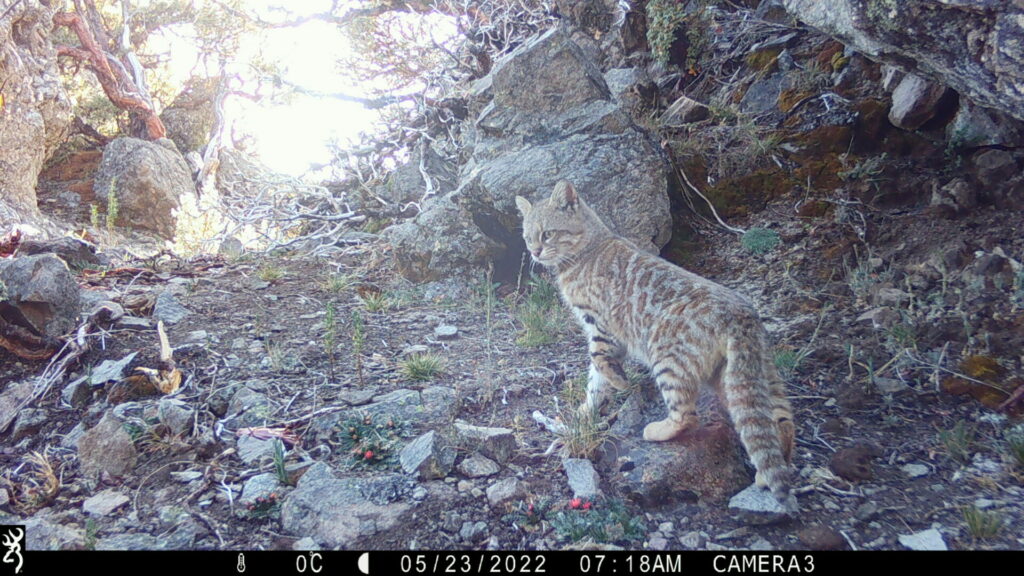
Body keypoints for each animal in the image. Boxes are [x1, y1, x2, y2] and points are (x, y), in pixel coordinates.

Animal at [516, 179, 794, 506]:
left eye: (547, 233)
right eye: (527, 236)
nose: (534, 251)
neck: (590, 247)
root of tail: (742, 315)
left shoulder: (600, 326)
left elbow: (599, 362)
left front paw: (617, 384)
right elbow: (594, 380)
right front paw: (587, 410)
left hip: (668, 360)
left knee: (687, 416)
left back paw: (658, 430)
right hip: (747, 377)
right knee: (779, 421)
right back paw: (769, 470)